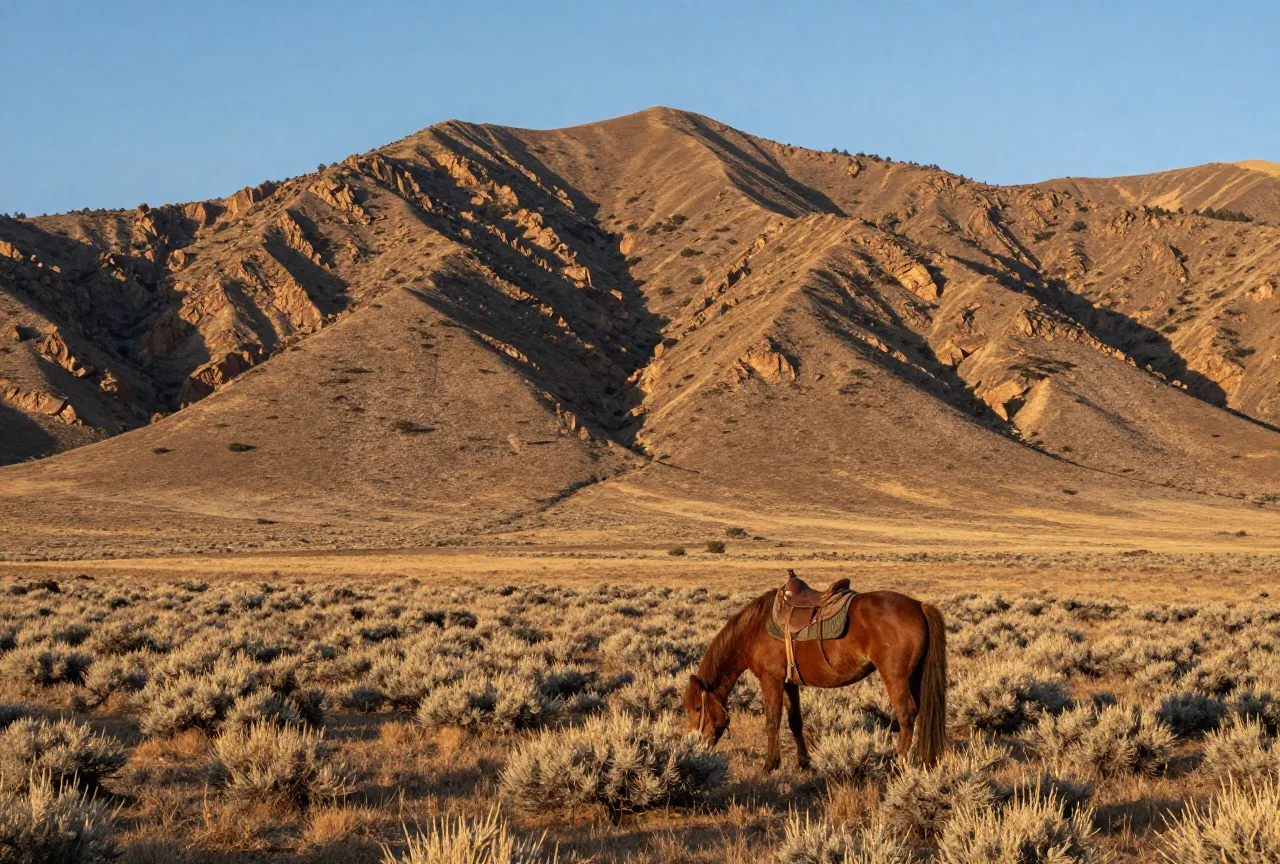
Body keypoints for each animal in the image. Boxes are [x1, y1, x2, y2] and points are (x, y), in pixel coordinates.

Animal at [683, 584, 947, 770]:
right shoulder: (789, 683)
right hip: (914, 676)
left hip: (895, 677)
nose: (694, 745)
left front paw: (770, 764)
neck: (753, 630)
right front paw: (804, 762)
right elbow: (795, 722)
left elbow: (772, 722)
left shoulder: (771, 680)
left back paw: (899, 765)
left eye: (698, 708)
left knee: (906, 715)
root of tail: (919, 605)